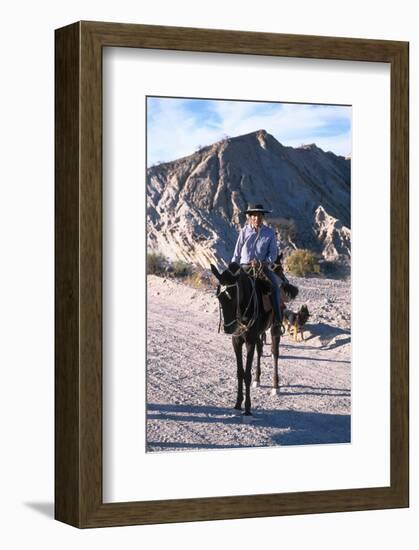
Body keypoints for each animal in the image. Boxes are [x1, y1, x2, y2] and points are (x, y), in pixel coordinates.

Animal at [210, 256, 298, 416]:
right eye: (219, 297)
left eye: (234, 297)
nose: (228, 328)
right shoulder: (236, 341)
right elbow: (240, 372)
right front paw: (238, 403)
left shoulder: (249, 341)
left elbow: (247, 375)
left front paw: (247, 407)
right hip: (258, 334)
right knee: (260, 350)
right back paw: (258, 380)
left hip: (274, 328)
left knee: (275, 353)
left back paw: (275, 387)